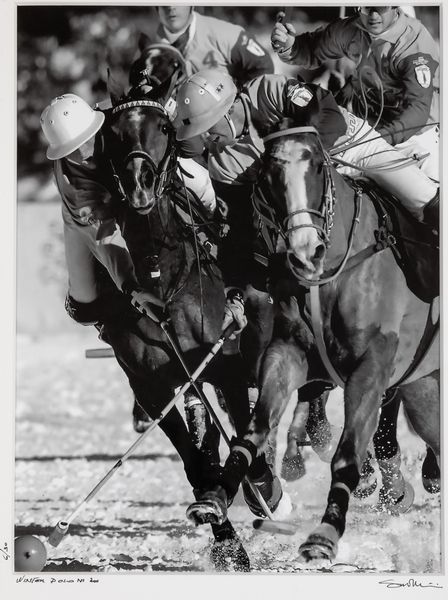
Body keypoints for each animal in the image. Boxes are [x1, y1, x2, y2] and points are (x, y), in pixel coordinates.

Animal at [187, 123, 440, 564]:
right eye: (268, 174)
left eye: (319, 165)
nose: (306, 251)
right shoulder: (287, 354)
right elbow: (253, 430)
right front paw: (216, 495)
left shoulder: (371, 367)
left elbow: (348, 452)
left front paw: (324, 534)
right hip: (422, 388)